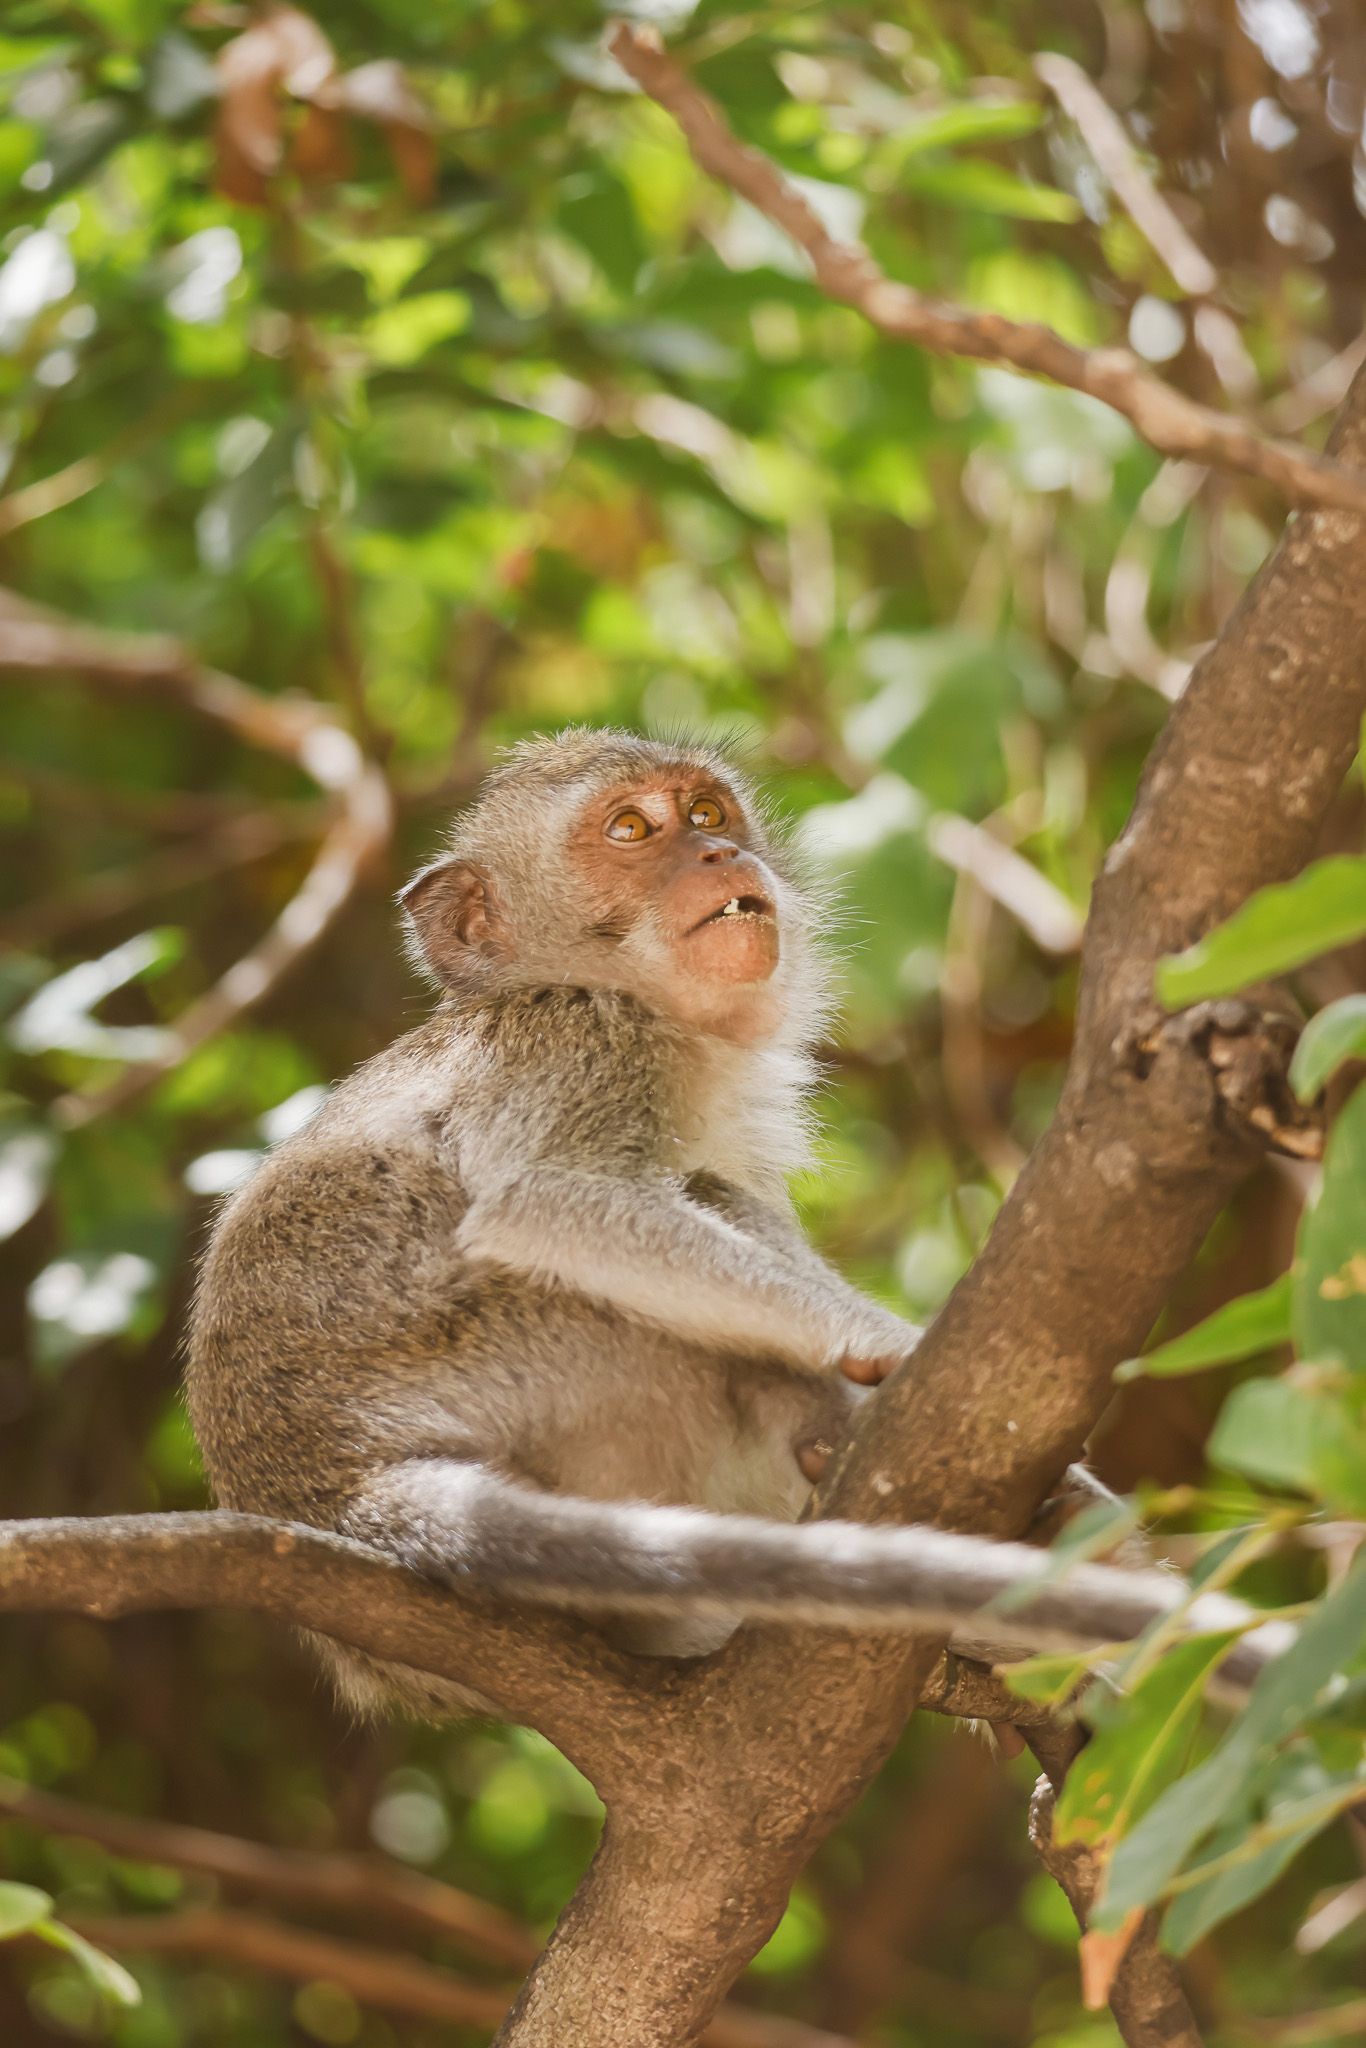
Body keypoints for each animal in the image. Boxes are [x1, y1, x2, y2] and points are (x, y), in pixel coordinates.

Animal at [186, 728, 929, 1718]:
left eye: (706, 811)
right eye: (630, 829)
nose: (719, 852)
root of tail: (327, 1491)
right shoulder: (584, 1043)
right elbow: (545, 1203)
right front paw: (885, 1337)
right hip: (554, 1366)